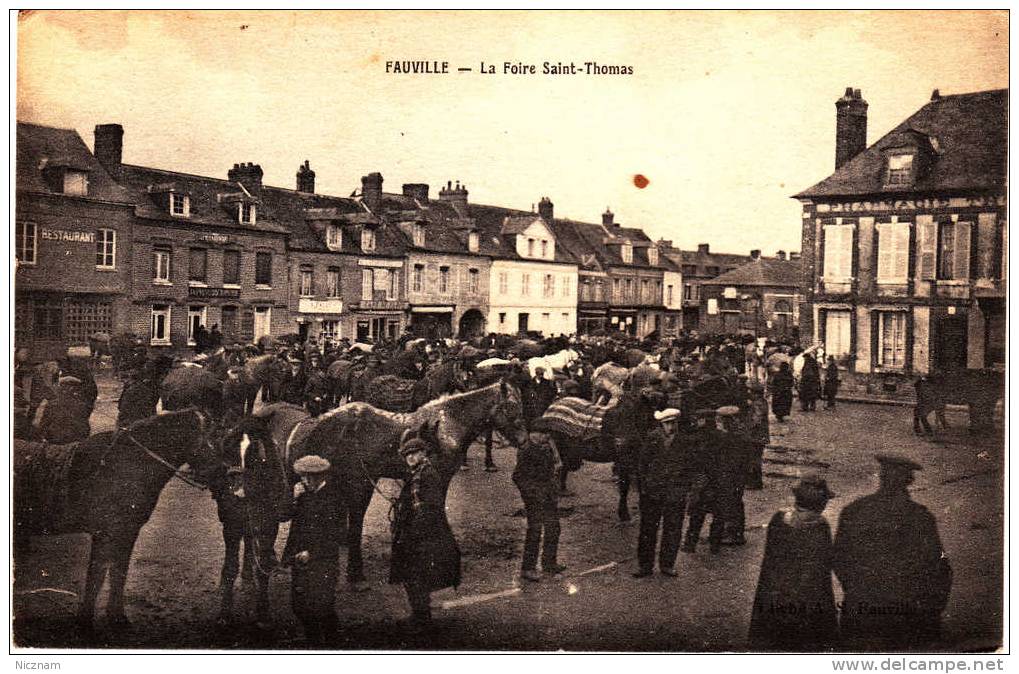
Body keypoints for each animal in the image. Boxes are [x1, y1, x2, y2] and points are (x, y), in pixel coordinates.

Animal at [11, 409, 219, 632]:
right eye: (206, 438)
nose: (221, 470)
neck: (125, 465)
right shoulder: (107, 533)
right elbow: (98, 575)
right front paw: (87, 621)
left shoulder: (126, 533)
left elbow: (118, 572)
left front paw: (116, 617)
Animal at [213, 416, 291, 624]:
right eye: (228, 448)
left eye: (257, 452)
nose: (237, 491)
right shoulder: (231, 525)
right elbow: (230, 568)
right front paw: (224, 612)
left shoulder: (268, 526)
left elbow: (262, 566)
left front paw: (263, 612)